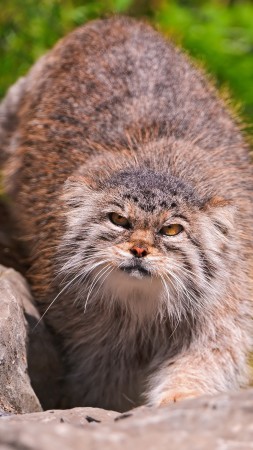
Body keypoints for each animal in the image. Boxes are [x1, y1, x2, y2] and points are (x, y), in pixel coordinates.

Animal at [0, 16, 253, 412]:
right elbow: (101, 390)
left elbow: (205, 359)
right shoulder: (93, 344)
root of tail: (117, 20)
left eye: (172, 230)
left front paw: (181, 395)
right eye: (118, 220)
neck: (144, 309)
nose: (138, 250)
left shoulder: (223, 310)